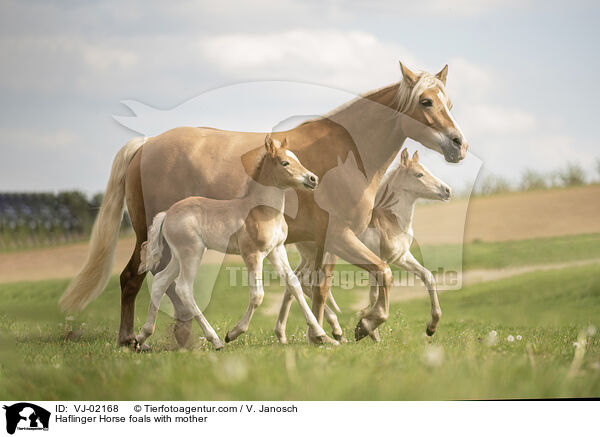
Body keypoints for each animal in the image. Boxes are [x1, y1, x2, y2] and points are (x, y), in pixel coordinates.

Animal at [136, 135, 332, 350]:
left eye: (297, 158)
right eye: (285, 162)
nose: (313, 179)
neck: (262, 211)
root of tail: (167, 213)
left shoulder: (276, 250)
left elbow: (293, 284)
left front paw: (321, 334)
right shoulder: (252, 254)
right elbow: (257, 295)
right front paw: (233, 333)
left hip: (179, 256)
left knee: (160, 281)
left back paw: (141, 336)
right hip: (191, 253)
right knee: (184, 289)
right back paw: (216, 340)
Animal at [276, 148, 450, 342]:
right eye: (419, 174)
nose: (447, 190)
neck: (389, 219)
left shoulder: (401, 258)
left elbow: (427, 276)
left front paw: (431, 327)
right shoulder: (381, 259)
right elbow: (375, 294)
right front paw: (369, 331)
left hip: (309, 258)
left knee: (295, 283)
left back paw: (284, 334)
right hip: (318, 257)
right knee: (305, 282)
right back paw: (330, 331)